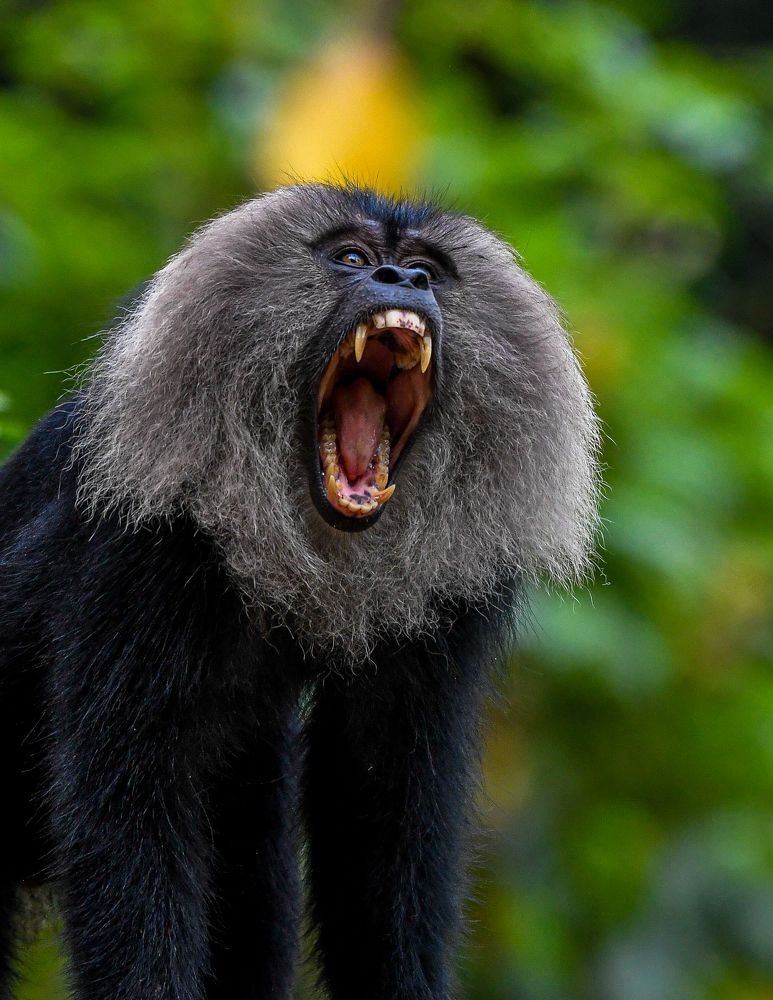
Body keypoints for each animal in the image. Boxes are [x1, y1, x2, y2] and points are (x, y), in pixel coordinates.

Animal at [0, 184, 600, 1000]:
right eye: (350, 257)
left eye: (429, 271)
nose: (401, 281)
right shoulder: (134, 544)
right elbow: (125, 816)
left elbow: (381, 810)